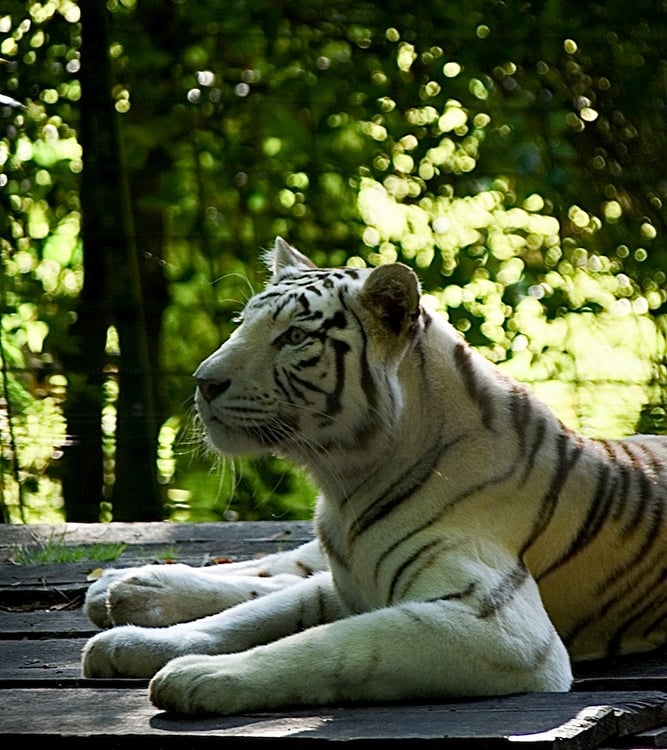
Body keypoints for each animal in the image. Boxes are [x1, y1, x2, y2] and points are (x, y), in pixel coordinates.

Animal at [82, 237, 667, 716]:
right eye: (241, 324)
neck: (345, 483)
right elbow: (254, 615)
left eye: (294, 337)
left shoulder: (500, 627)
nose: (204, 382)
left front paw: (200, 674)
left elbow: (333, 641)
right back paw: (125, 586)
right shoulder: (350, 580)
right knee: (282, 570)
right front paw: (132, 644)